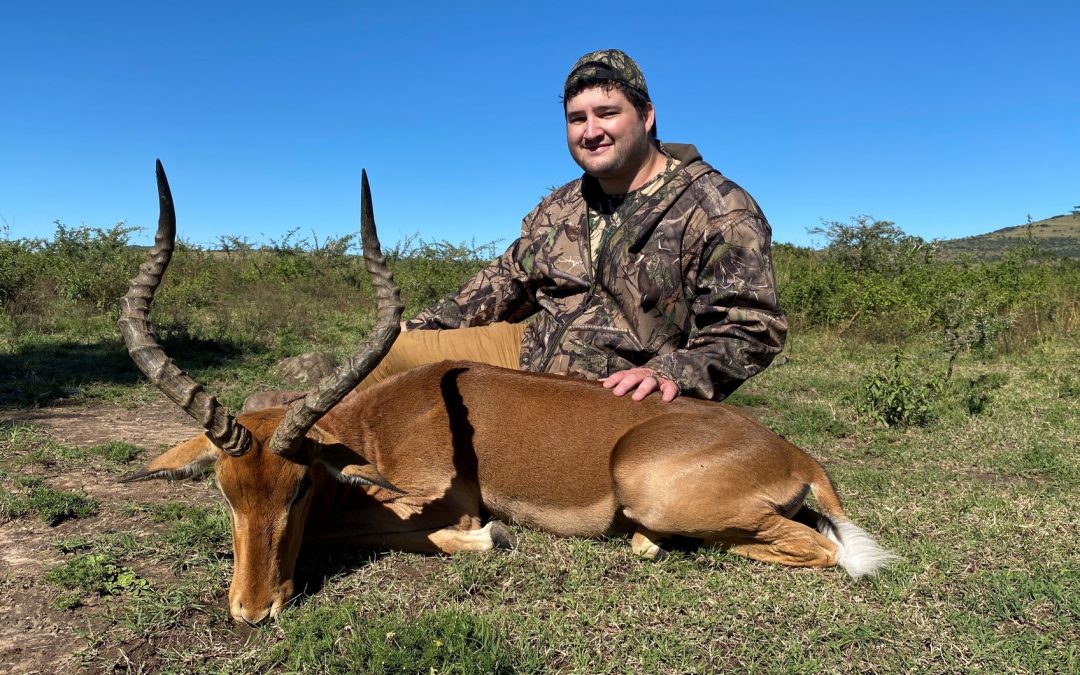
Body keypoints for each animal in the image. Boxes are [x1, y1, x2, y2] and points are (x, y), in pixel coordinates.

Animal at [120, 162, 894, 625]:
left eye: (301, 486)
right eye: (225, 490)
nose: (252, 611)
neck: (377, 424)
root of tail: (792, 453)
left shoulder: (429, 505)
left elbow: (422, 533)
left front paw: (493, 534)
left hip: (656, 488)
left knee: (827, 551)